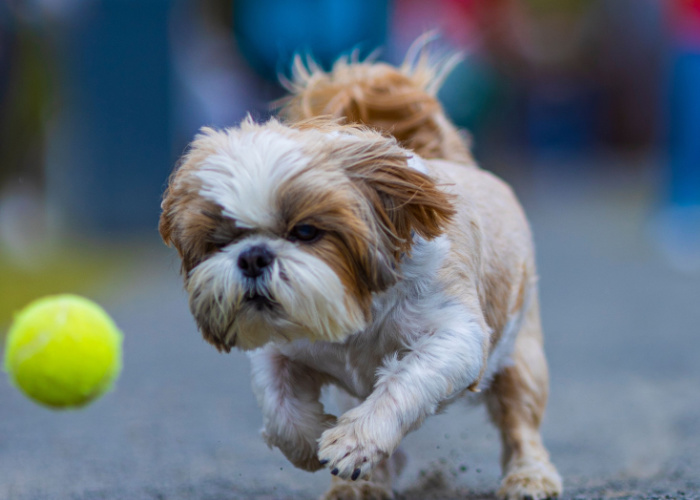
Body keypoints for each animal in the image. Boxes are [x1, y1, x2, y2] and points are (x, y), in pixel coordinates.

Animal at [160, 44, 564, 500]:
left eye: (306, 231)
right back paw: (365, 484)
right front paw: (311, 441)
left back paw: (529, 476)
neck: (359, 313)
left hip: (521, 357)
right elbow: (278, 404)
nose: (253, 257)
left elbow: (405, 381)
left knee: (520, 424)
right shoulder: (280, 349)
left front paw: (354, 440)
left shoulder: (456, 338)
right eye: (222, 239)